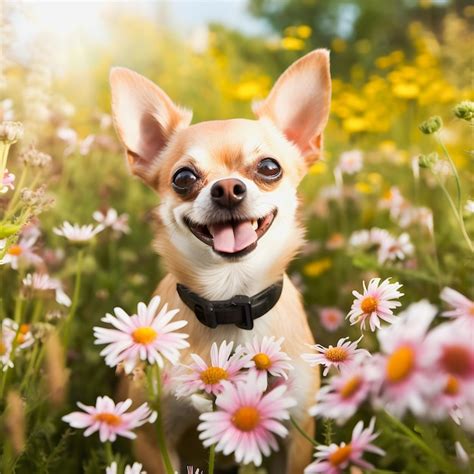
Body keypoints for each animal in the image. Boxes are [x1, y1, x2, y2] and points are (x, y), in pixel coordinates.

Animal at [110, 50, 334, 472]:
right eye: (183, 177)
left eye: (269, 167)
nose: (228, 188)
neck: (231, 300)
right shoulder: (153, 439)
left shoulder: (295, 434)